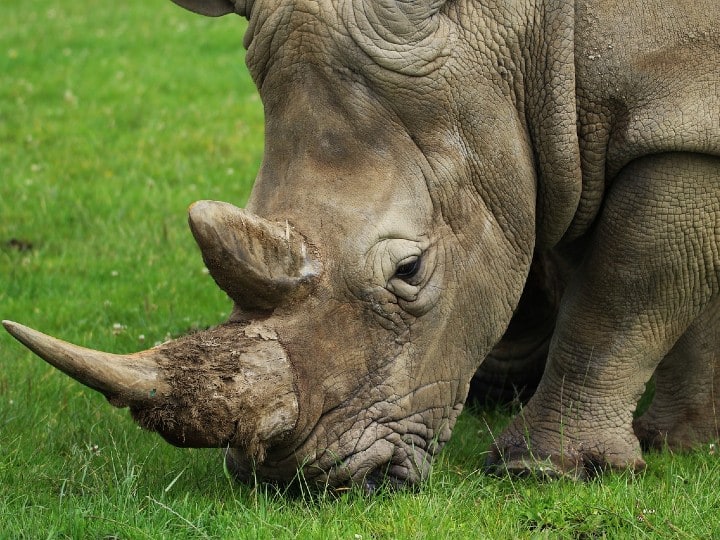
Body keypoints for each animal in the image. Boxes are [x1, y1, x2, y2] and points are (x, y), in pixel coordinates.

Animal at [4, 0, 720, 489]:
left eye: (411, 268)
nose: (296, 481)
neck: (527, 28)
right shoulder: (583, 130)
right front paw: (687, 441)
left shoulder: (676, 114)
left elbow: (621, 296)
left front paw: (550, 468)